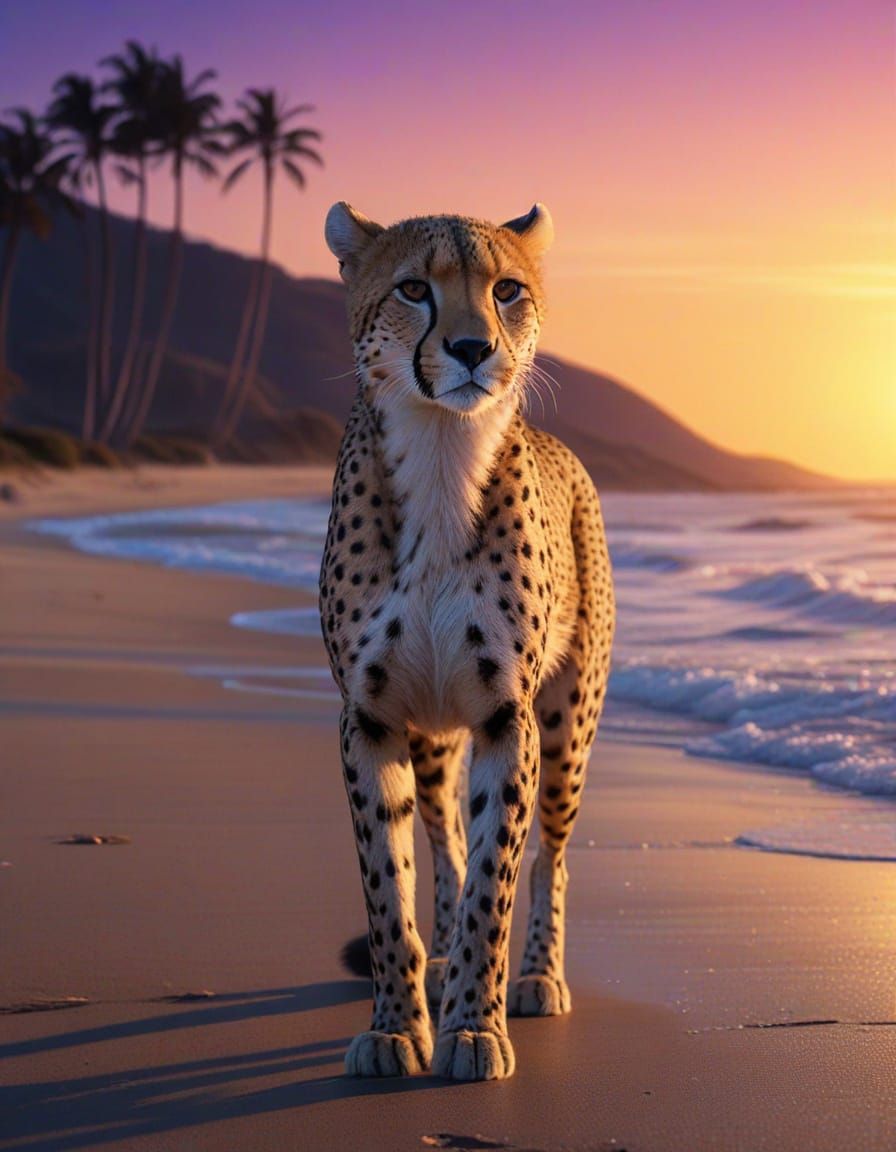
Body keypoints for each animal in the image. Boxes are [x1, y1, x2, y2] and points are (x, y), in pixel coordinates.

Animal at [319, 201, 615, 1081]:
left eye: (506, 289)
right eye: (414, 288)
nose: (473, 347)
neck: (444, 456)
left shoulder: (503, 716)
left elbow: (497, 876)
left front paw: (474, 1028)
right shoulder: (373, 716)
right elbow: (390, 883)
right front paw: (394, 1027)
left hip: (565, 730)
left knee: (550, 852)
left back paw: (538, 976)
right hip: (430, 733)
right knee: (442, 833)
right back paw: (442, 956)